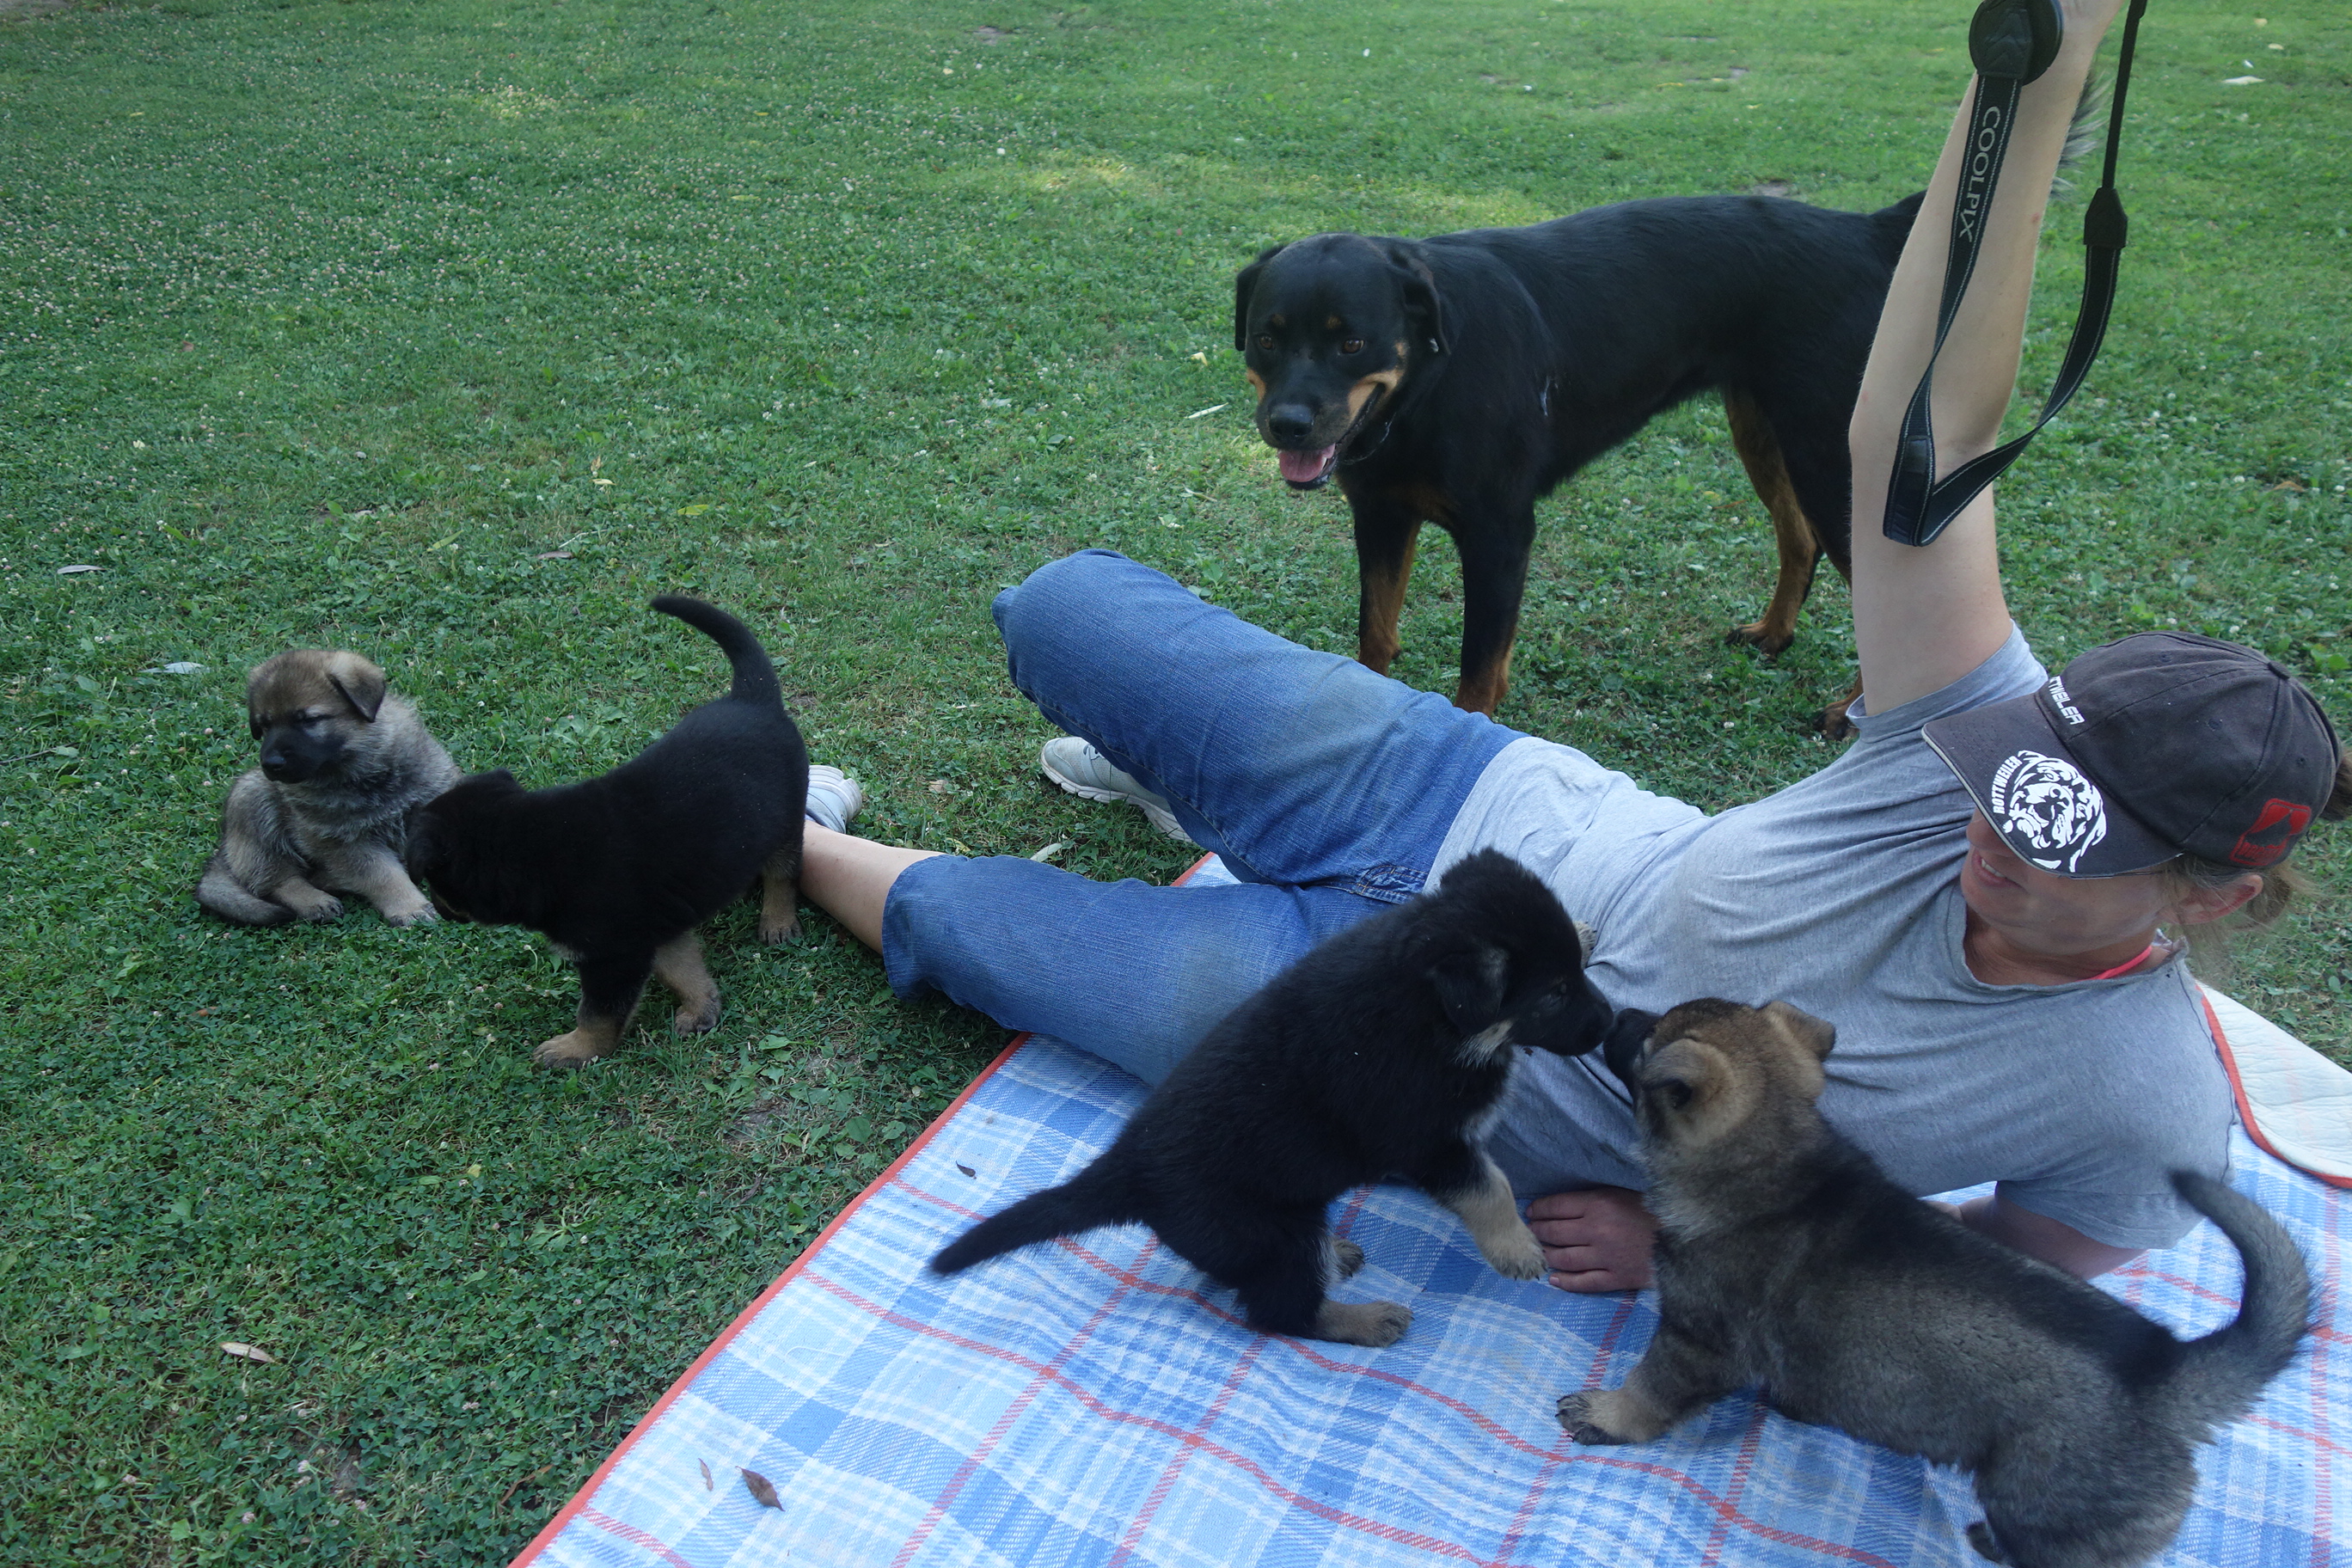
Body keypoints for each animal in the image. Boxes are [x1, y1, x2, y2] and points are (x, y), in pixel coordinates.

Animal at [196, 649, 460, 927]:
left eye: (308, 720)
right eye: (265, 725)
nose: (271, 763)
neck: (363, 771)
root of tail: (225, 850)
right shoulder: (345, 842)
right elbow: (382, 875)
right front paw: (410, 906)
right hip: (251, 800)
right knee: (278, 879)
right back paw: (315, 900)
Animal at [403, 596, 809, 1068]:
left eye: (435, 883)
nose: (438, 909)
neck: (527, 847)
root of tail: (752, 698)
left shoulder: (611, 956)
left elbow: (599, 1013)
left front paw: (573, 1049)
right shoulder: (654, 929)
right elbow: (682, 968)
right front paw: (700, 1008)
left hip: (785, 819)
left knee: (783, 871)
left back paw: (777, 920)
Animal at [931, 849, 1626, 1347]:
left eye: (1574, 974)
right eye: (1553, 995)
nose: (1613, 1025)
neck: (1429, 1005)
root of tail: (1129, 1168)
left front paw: (1584, 927)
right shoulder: (1426, 1140)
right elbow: (1491, 1187)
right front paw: (1517, 1249)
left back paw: (1338, 1260)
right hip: (1272, 1234)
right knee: (1280, 1312)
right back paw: (1363, 1319)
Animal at [1234, 192, 1924, 727]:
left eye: (1352, 343)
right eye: (1266, 338)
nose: (1287, 425)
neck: (1428, 385)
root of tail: (1867, 229)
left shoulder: (1500, 536)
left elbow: (1478, 671)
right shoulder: (1380, 516)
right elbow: (1375, 632)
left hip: (1832, 458)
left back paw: (1852, 714)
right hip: (1764, 431)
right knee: (1799, 539)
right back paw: (1774, 635)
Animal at [1560, 998, 2311, 1568]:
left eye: (1643, 1038)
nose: (1613, 1011)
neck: (1777, 1159)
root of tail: (2167, 1377)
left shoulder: (1696, 1338)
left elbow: (1652, 1387)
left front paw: (1608, 1415)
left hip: (2043, 1502)